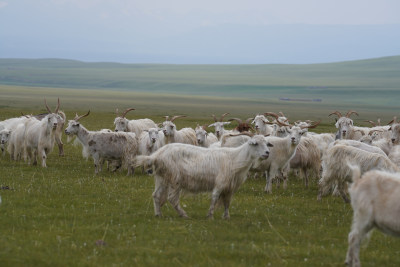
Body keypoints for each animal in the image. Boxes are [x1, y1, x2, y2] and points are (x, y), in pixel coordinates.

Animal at [134, 136, 272, 220]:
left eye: (267, 144)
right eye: (256, 144)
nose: (267, 153)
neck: (235, 158)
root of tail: (156, 155)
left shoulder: (229, 187)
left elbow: (227, 202)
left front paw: (226, 217)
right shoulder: (220, 183)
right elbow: (214, 199)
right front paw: (210, 216)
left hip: (162, 178)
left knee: (156, 195)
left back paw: (158, 214)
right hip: (175, 179)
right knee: (172, 199)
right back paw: (183, 214)